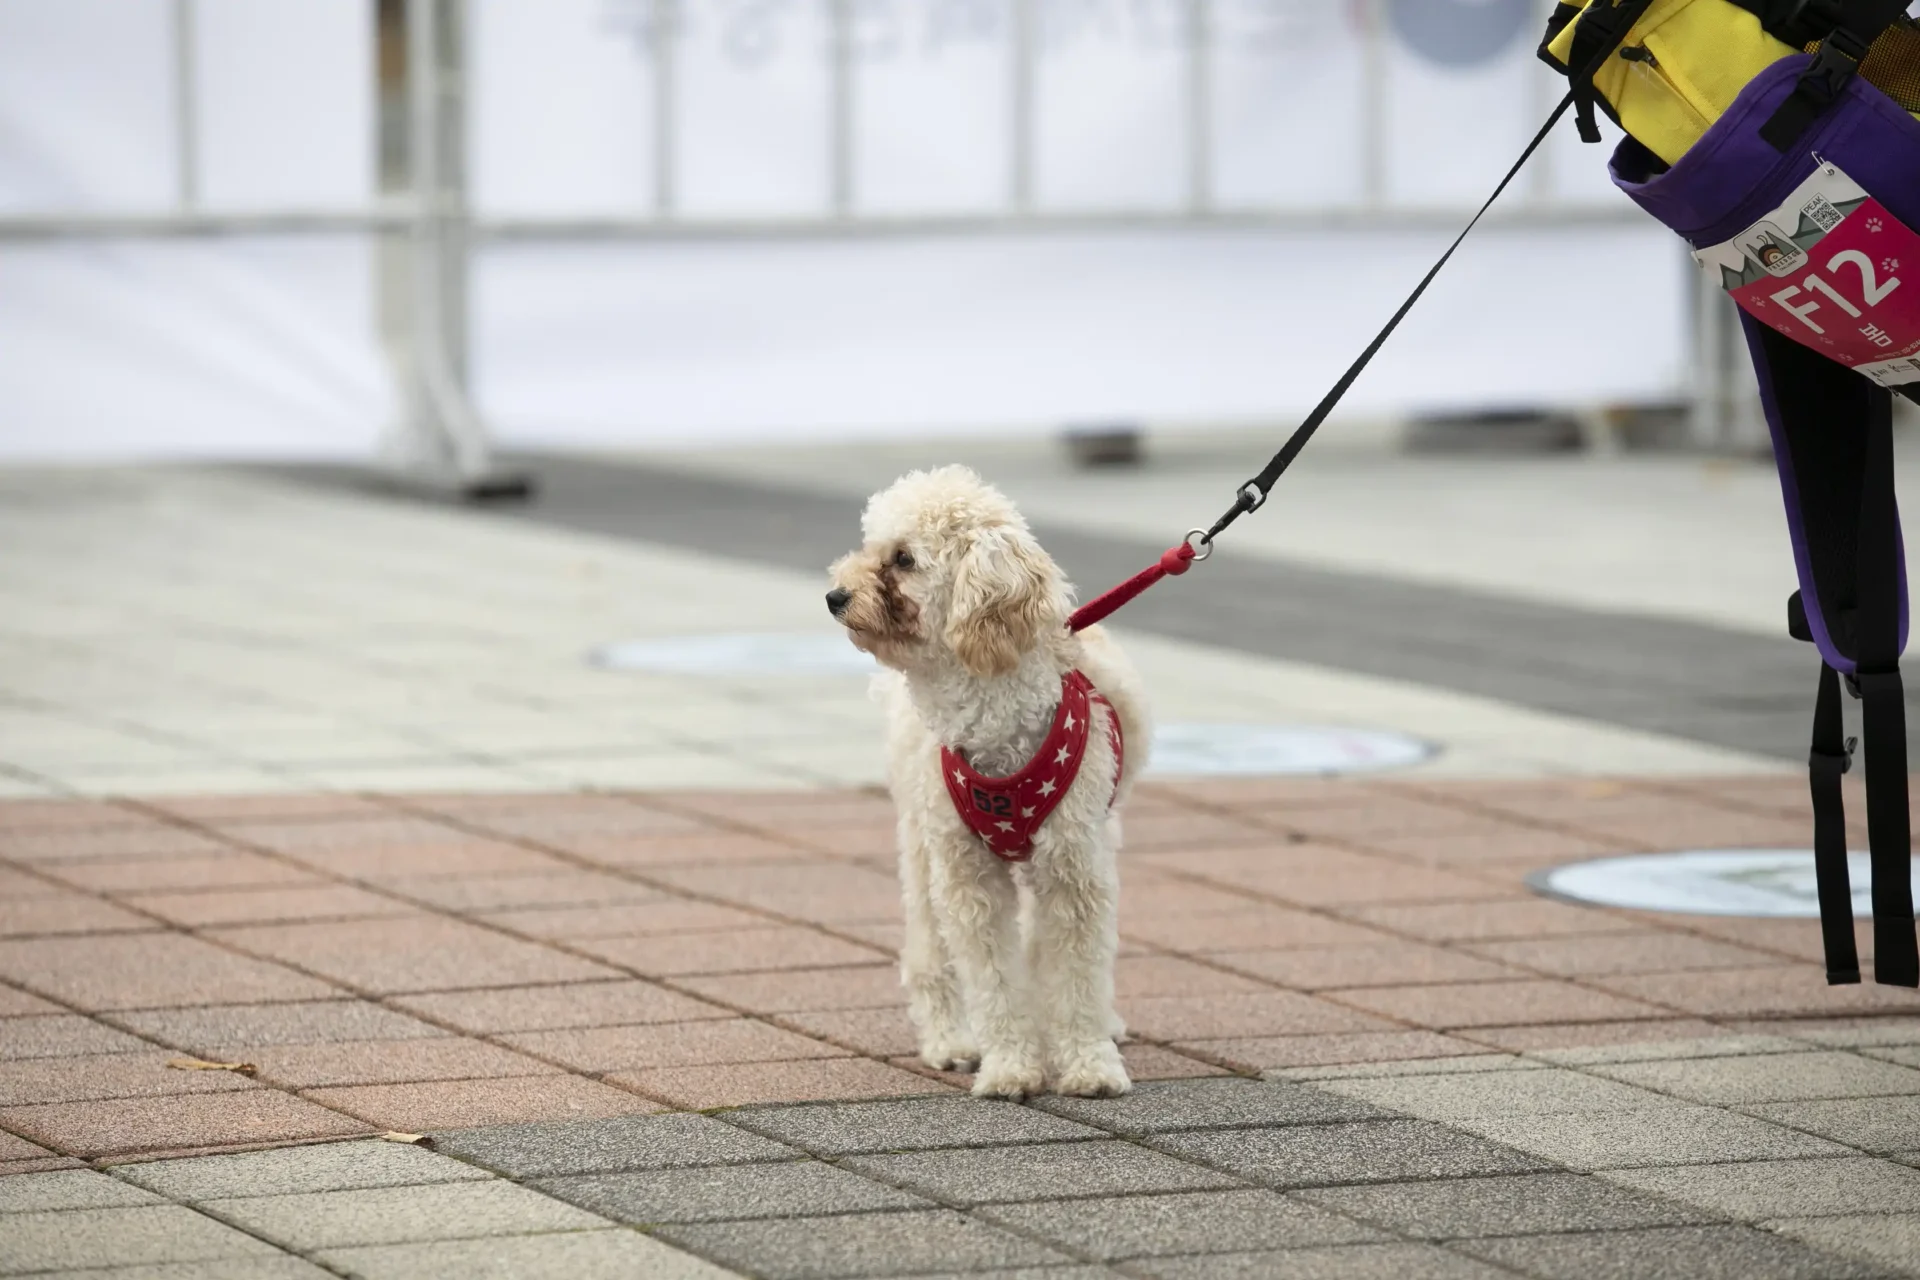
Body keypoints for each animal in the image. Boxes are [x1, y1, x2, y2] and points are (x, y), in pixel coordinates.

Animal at [826, 466, 1148, 1099]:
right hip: (921, 844)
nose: (835, 596)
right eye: (871, 546)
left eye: (903, 558)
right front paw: (1011, 1067)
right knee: (928, 954)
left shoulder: (1075, 868)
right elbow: (995, 979)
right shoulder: (966, 877)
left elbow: (1075, 973)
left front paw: (1089, 1064)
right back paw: (950, 1041)